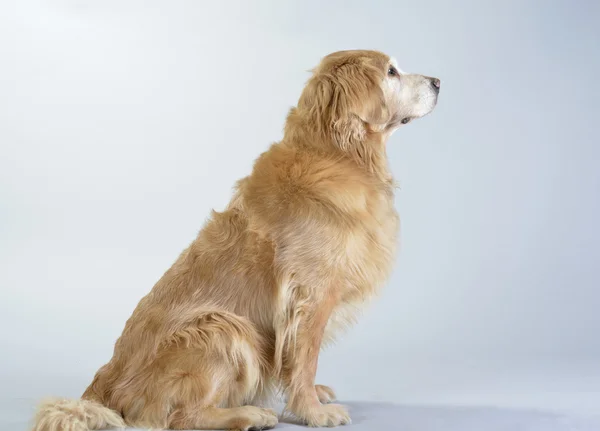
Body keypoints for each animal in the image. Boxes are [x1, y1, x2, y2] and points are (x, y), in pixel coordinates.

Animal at [30, 49, 438, 430]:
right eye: (391, 71)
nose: (437, 81)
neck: (339, 154)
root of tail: (104, 384)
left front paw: (313, 396)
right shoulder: (311, 294)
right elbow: (305, 359)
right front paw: (312, 411)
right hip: (223, 327)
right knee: (181, 416)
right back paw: (249, 414)